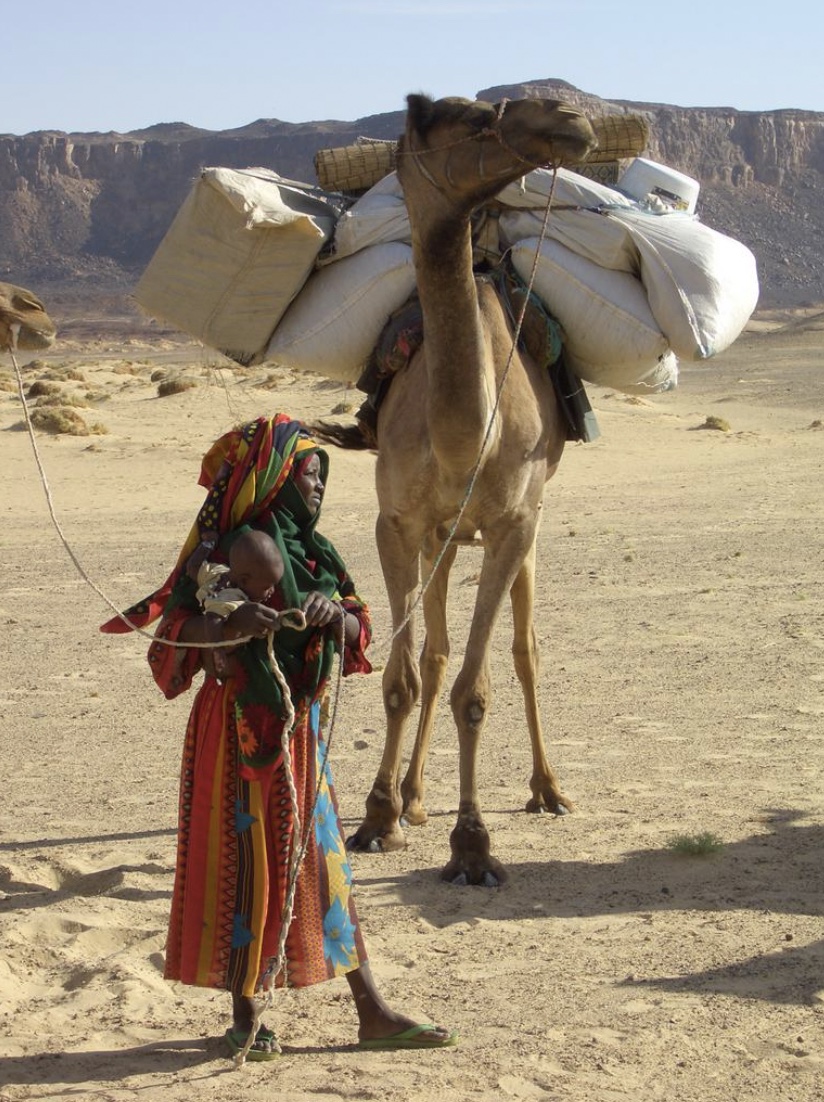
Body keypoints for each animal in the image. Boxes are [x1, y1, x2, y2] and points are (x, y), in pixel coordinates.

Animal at [319, 96, 594, 886]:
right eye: (468, 116)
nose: (568, 115)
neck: (465, 436)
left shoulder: (512, 525)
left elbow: (479, 687)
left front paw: (472, 844)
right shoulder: (397, 524)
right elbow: (406, 677)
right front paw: (379, 817)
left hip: (528, 529)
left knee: (524, 651)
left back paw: (548, 790)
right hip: (441, 538)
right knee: (437, 656)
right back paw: (413, 798)